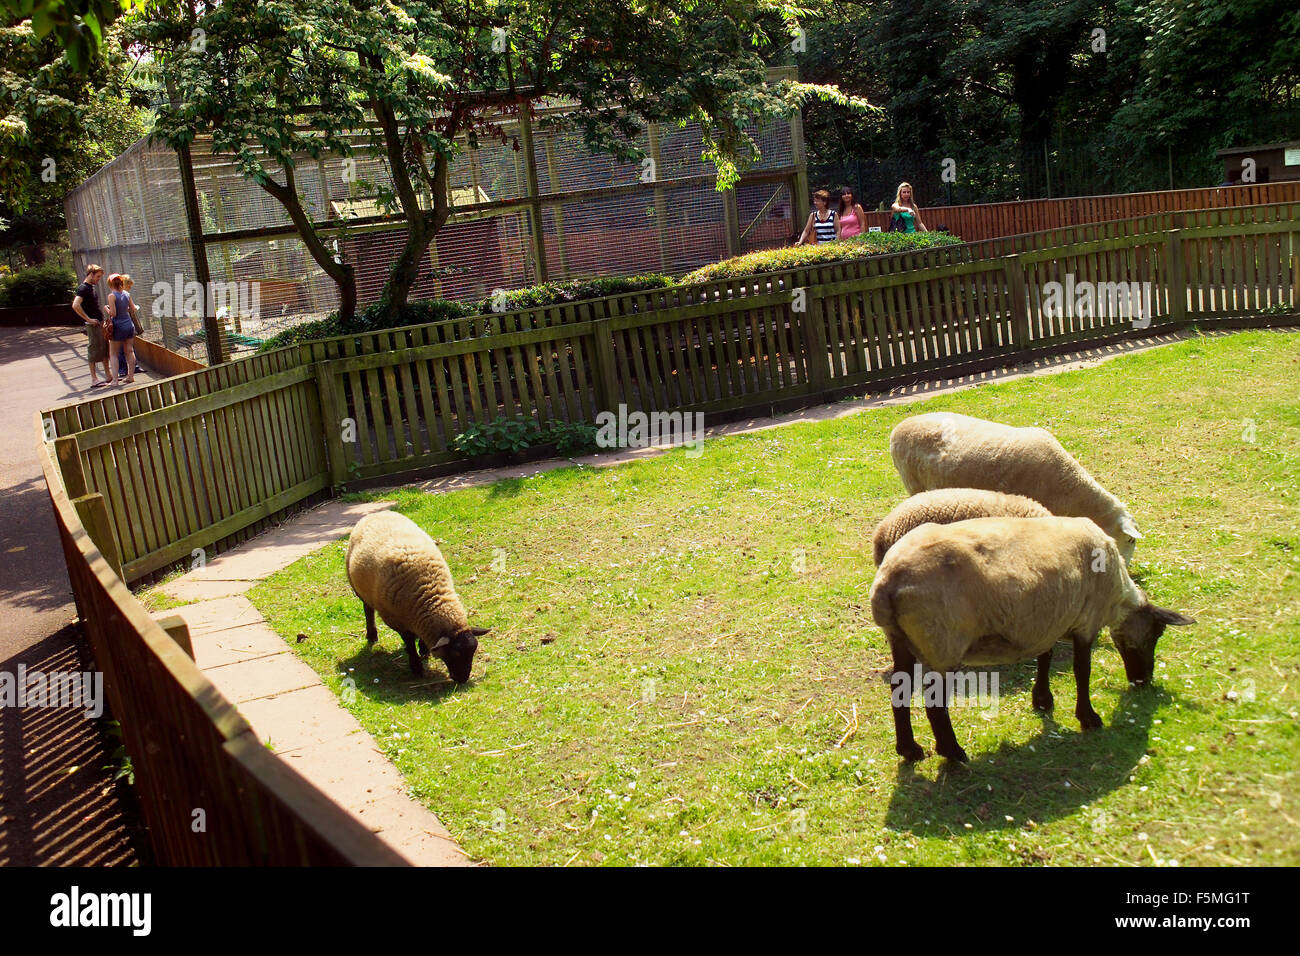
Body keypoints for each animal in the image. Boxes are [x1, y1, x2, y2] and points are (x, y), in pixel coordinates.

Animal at [343, 512, 488, 686]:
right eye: (456, 654)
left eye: (473, 651)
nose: (463, 679)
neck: (430, 594)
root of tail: (375, 513)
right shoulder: (396, 619)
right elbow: (409, 641)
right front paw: (416, 667)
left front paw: (424, 650)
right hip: (358, 588)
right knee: (368, 609)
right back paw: (372, 635)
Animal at [868, 515, 1190, 764]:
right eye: (1156, 634)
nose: (1143, 681)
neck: (1117, 597)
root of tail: (888, 582)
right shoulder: (1087, 621)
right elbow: (1082, 671)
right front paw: (1089, 718)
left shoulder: (1047, 620)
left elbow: (1045, 657)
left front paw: (1043, 700)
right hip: (943, 643)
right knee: (935, 706)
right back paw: (953, 753)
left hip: (901, 639)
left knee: (899, 690)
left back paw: (909, 749)